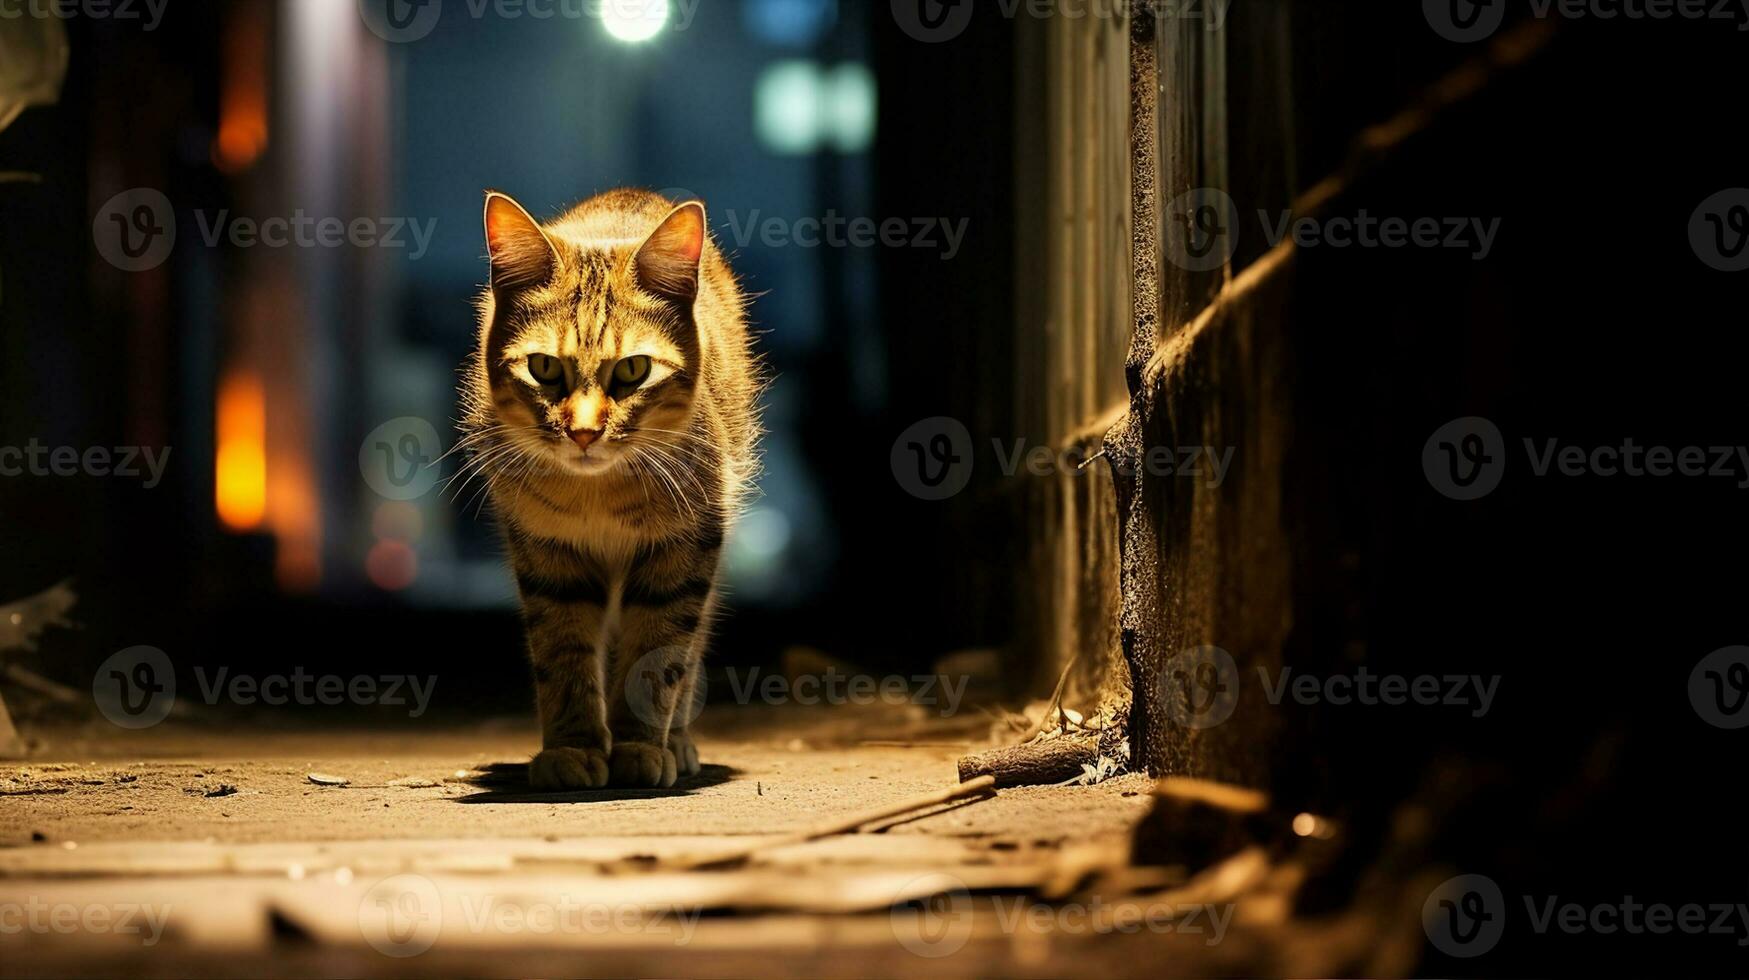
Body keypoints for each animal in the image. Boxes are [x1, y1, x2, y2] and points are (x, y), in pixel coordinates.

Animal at [461, 189, 762, 787]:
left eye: (633, 371)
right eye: (543, 367)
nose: (583, 432)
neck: (597, 493)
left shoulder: (683, 552)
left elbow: (659, 654)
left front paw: (641, 746)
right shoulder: (547, 555)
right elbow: (562, 655)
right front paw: (572, 748)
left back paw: (678, 743)